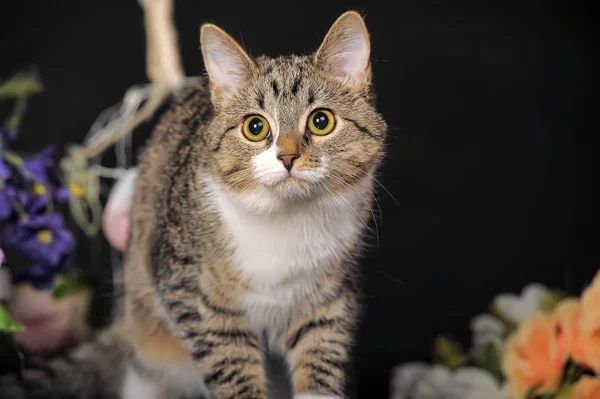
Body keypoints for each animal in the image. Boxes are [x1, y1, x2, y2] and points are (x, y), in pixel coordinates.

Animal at [0, 9, 390, 399]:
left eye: (321, 121)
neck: (284, 219)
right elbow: (229, 363)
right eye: (255, 127)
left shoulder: (330, 296)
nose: (288, 157)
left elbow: (320, 351)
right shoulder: (191, 293)